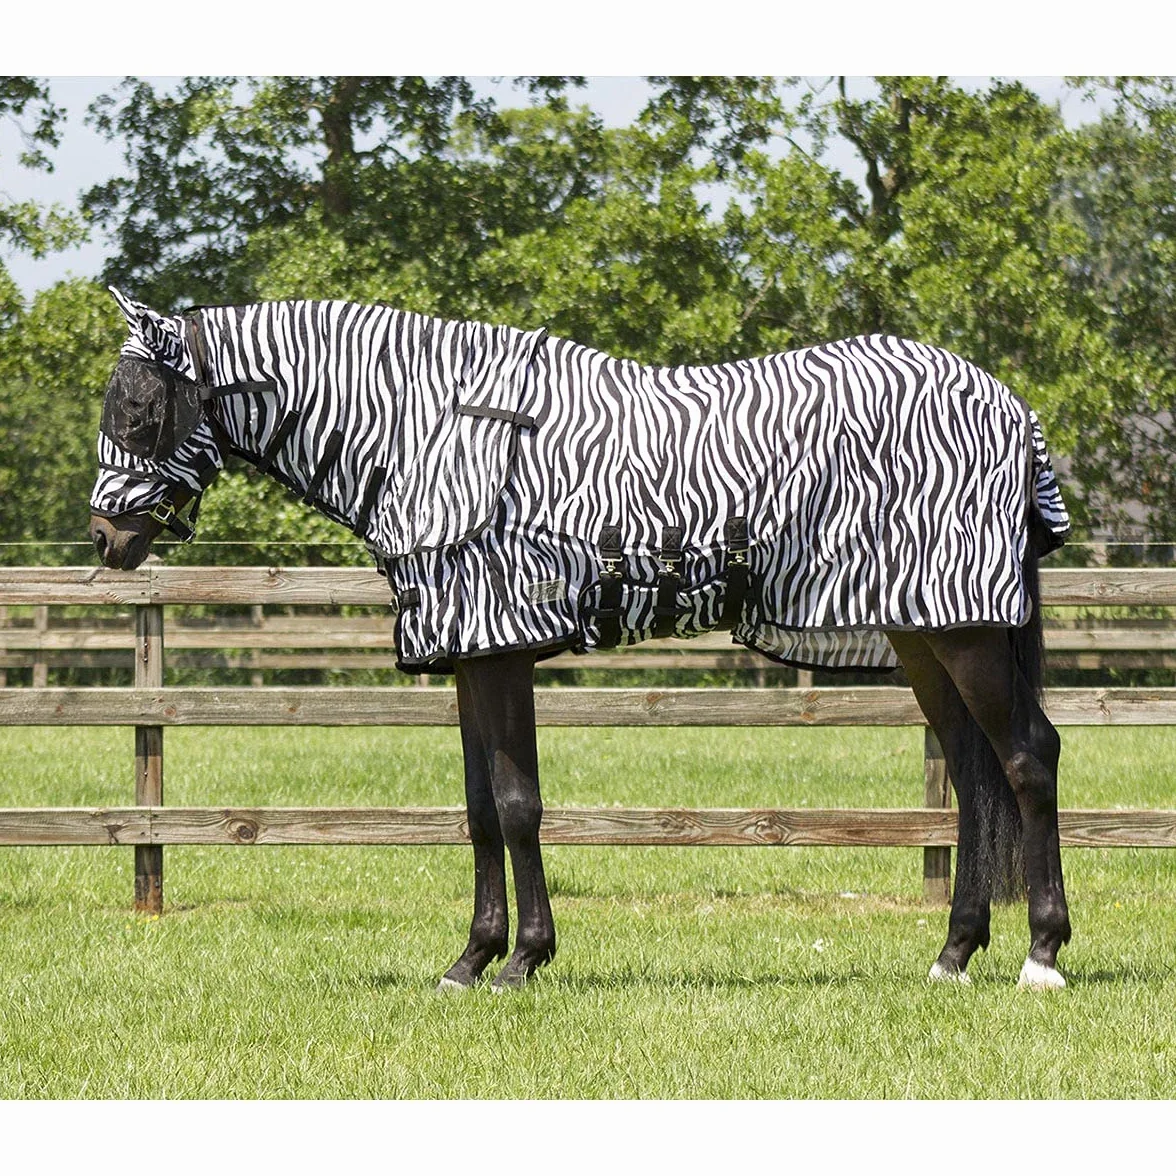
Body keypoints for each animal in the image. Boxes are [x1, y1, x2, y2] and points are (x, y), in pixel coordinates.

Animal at [88, 289, 1073, 991]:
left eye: (138, 408)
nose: (105, 539)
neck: (431, 429)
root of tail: (1010, 407)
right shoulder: (470, 655)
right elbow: (480, 809)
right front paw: (472, 959)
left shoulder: (499, 651)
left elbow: (518, 804)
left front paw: (522, 959)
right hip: (922, 633)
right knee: (975, 775)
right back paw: (954, 955)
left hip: (967, 634)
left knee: (1028, 757)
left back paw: (1042, 955)